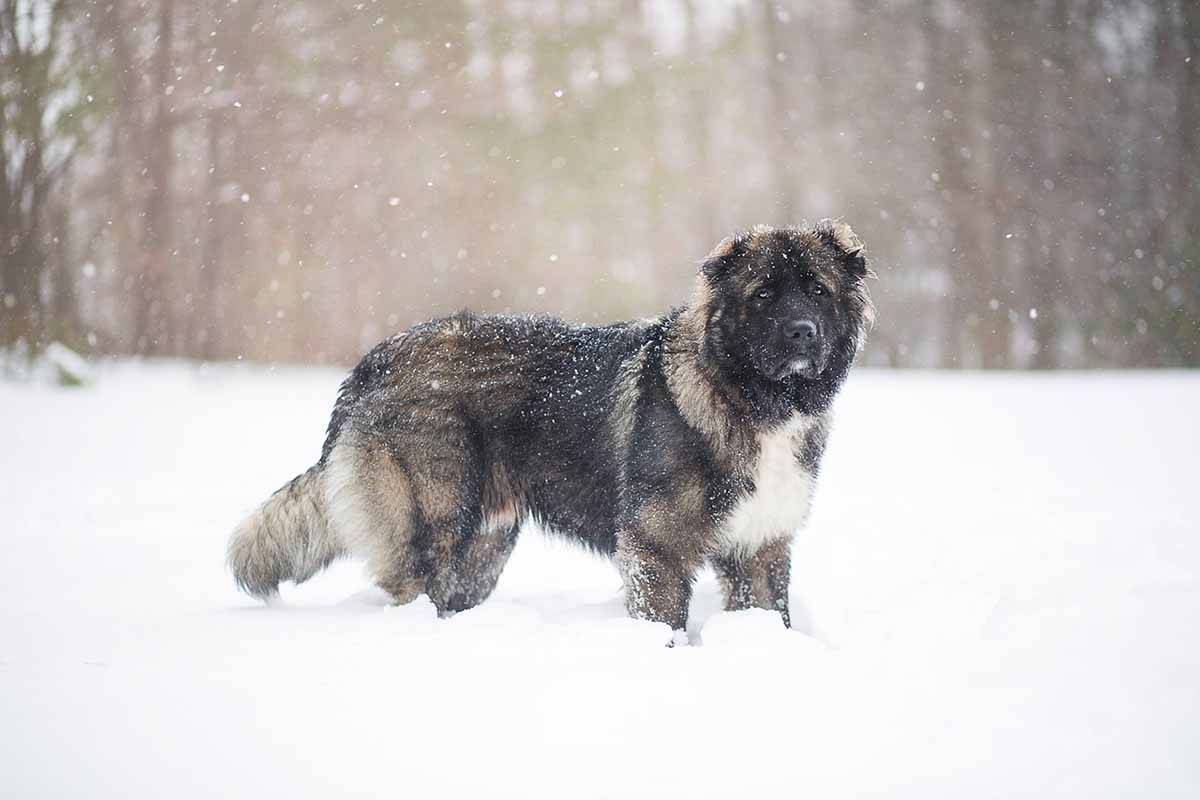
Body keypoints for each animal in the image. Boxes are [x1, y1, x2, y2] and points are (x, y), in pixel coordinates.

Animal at [229, 221, 878, 642]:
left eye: (817, 289)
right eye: (763, 293)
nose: (802, 333)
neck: (749, 397)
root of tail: (373, 362)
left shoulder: (760, 547)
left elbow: (772, 614)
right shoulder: (657, 548)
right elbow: (665, 622)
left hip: (485, 546)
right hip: (434, 523)